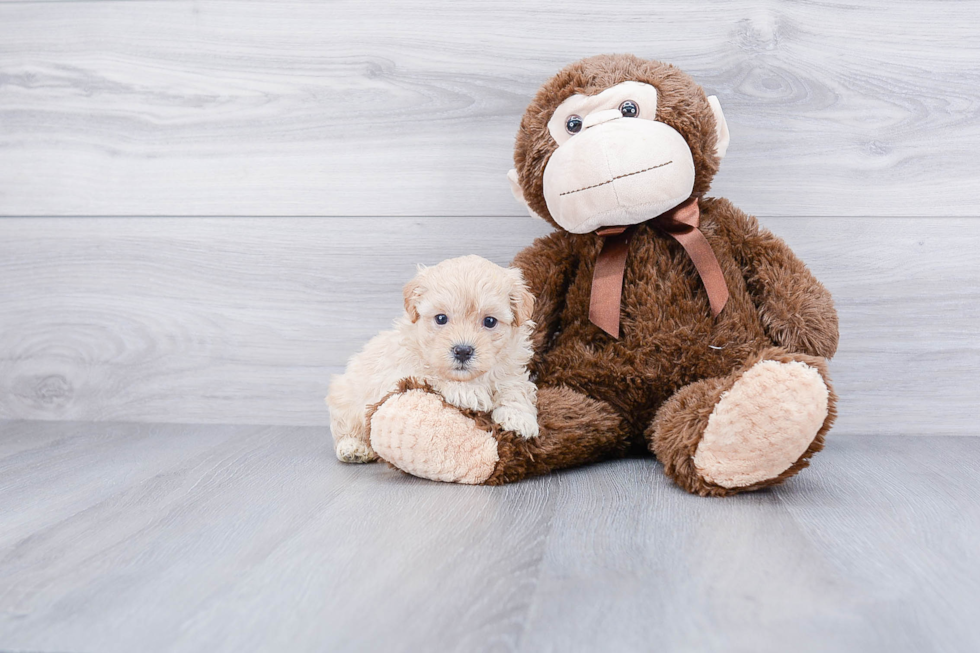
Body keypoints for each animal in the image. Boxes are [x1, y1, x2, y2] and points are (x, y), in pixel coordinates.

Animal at [326, 255, 540, 464]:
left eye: (489, 321)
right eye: (441, 318)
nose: (463, 351)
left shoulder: (511, 366)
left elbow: (515, 387)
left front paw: (519, 416)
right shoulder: (398, 372)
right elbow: (431, 374)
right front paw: (467, 392)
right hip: (345, 400)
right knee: (346, 428)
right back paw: (353, 447)